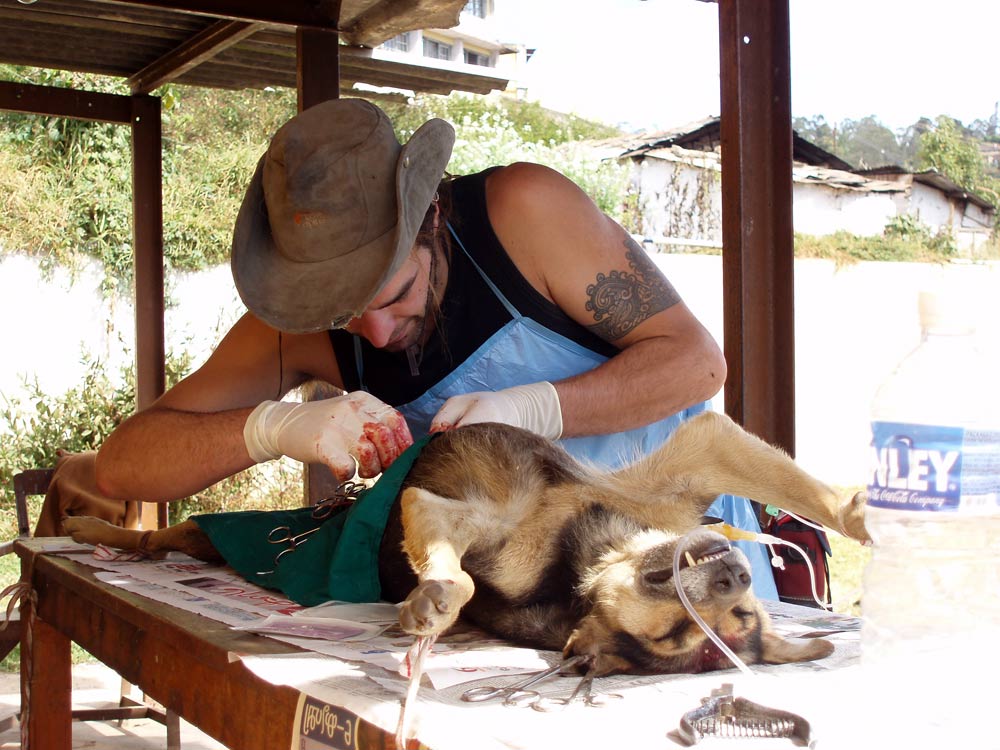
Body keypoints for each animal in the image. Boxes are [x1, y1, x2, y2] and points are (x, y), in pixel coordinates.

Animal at [66, 414, 872, 680]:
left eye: (683, 642)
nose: (739, 571)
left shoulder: (432, 511)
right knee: (156, 531)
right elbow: (791, 480)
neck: (583, 555)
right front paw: (859, 514)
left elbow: (460, 581)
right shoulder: (697, 458)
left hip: (239, 541)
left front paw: (428, 603)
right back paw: (86, 527)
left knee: (168, 538)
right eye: (724, 624)